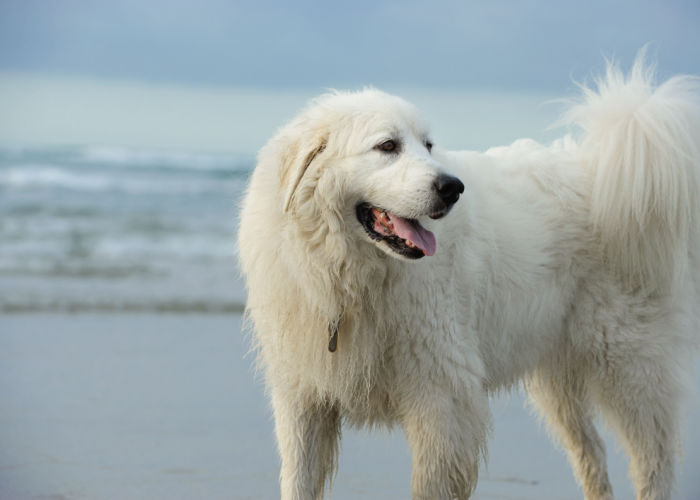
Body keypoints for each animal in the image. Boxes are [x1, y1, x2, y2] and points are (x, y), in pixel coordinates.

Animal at [237, 54, 700, 500]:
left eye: (428, 145)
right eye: (387, 146)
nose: (452, 187)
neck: (348, 277)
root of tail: (607, 167)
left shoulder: (442, 399)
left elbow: (429, 486)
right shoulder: (304, 399)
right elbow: (297, 481)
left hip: (629, 363)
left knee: (654, 462)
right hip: (559, 381)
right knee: (592, 455)